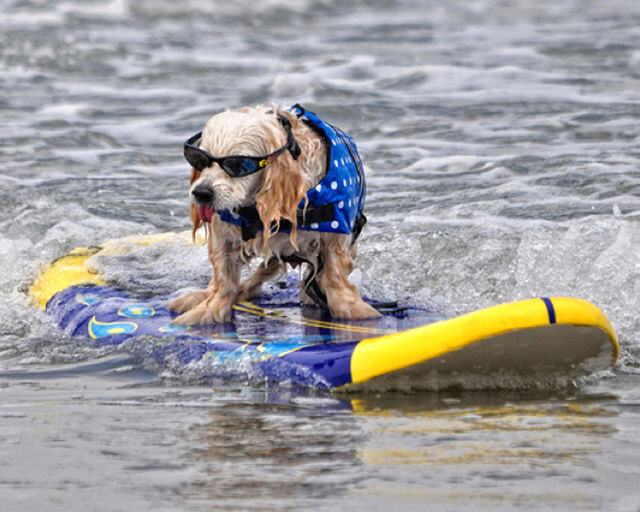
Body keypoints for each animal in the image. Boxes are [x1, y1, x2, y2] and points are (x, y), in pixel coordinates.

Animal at [170, 104, 380, 324]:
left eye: (237, 165)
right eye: (200, 160)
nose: (201, 193)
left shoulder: (334, 236)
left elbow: (334, 274)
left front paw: (351, 308)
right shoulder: (224, 231)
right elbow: (224, 280)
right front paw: (210, 309)